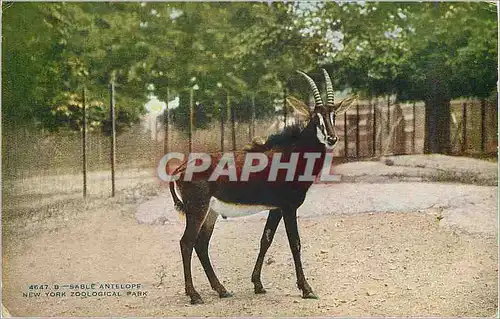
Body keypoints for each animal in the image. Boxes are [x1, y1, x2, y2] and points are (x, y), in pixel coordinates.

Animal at [168, 70, 356, 304]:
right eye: (315, 118)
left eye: (334, 115)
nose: (332, 138)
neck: (292, 153)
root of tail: (181, 167)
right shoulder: (288, 207)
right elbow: (295, 243)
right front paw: (306, 289)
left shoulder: (275, 209)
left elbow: (265, 240)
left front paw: (258, 284)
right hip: (197, 209)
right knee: (186, 243)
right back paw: (194, 295)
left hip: (210, 213)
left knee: (201, 244)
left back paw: (221, 289)